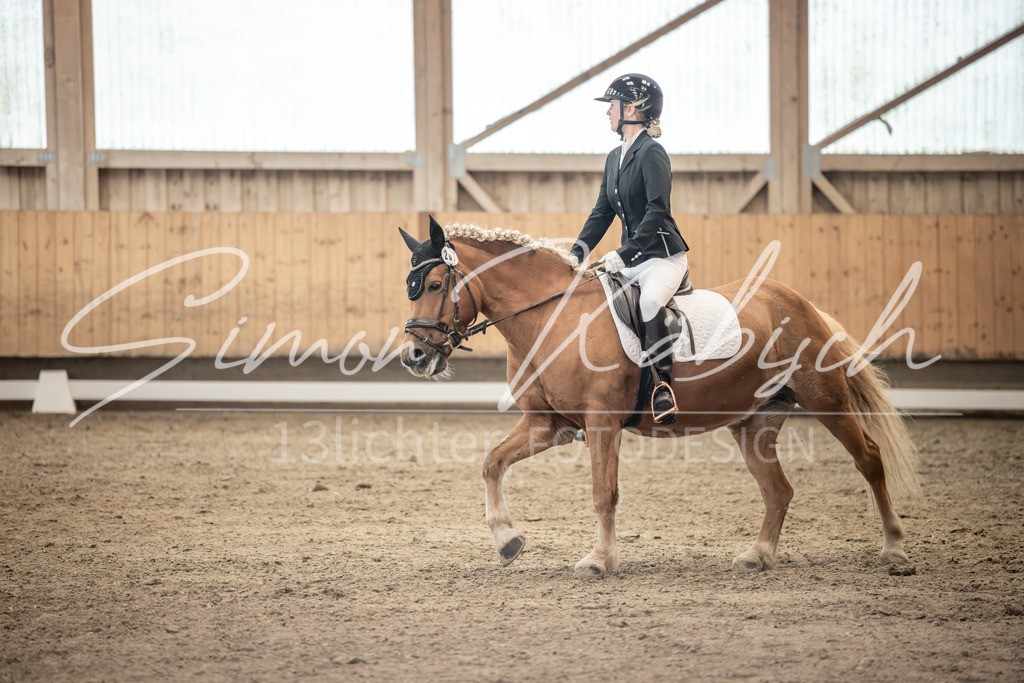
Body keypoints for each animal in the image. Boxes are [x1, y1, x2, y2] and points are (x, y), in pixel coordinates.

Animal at [398, 217, 919, 578]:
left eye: (435, 285)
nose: (415, 357)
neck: (554, 316)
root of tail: (799, 302)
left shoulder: (602, 423)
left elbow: (603, 493)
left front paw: (599, 560)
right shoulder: (550, 425)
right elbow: (491, 462)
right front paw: (508, 541)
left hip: (826, 400)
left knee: (869, 459)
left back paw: (894, 548)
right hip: (755, 421)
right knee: (778, 489)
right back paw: (758, 555)